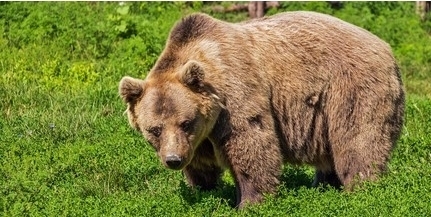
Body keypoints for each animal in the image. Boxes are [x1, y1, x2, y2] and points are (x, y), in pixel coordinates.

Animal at [118, 11, 404, 208]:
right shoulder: (199, 137)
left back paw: (361, 188)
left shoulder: (235, 96)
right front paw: (204, 189)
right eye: (154, 129)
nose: (173, 160)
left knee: (358, 140)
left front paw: (250, 201)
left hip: (351, 88)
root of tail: (387, 48)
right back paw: (324, 184)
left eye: (186, 122)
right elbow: (201, 164)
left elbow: (251, 144)